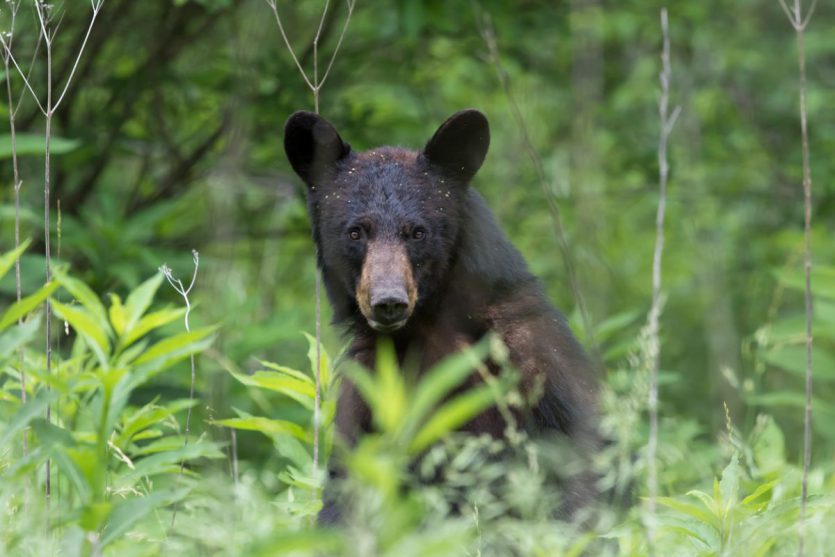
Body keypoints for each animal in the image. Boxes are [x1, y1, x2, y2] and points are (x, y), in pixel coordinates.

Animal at [284, 108, 596, 512]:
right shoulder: (368, 387)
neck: (426, 327)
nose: (389, 301)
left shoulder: (536, 364)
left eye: (418, 232)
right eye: (355, 232)